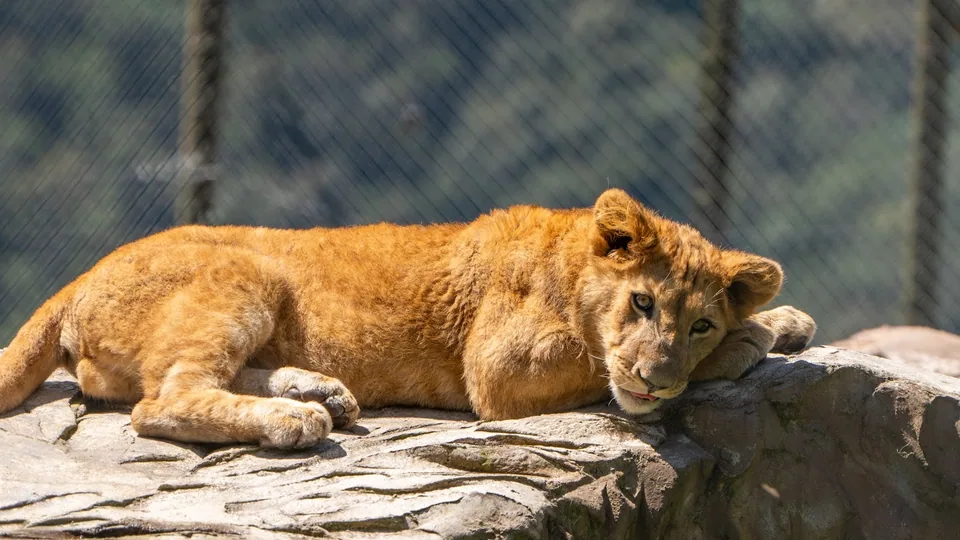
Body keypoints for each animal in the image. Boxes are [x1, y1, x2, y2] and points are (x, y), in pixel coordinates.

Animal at [0, 189, 815, 448]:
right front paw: (754, 336)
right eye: (642, 304)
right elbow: (601, 365)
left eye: (697, 323)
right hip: (245, 271)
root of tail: (77, 278)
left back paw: (318, 391)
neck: (568, 257)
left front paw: (780, 317)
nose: (655, 378)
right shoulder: (497, 371)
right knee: (160, 401)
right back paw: (296, 420)